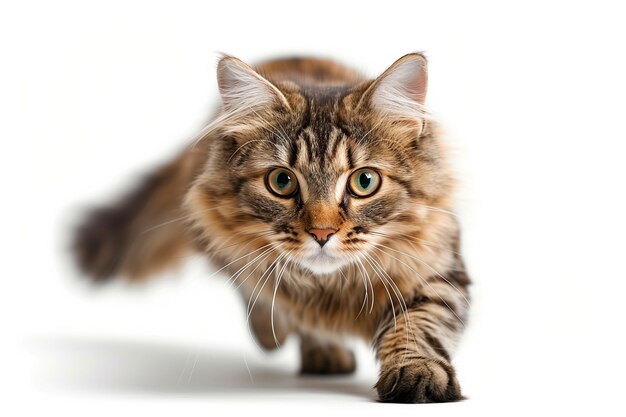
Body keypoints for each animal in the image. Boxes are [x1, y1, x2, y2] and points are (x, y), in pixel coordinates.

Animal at [73, 52, 470, 400]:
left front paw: (417, 373)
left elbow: (418, 324)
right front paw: (278, 331)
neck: (331, 287)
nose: (322, 233)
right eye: (281, 181)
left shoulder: (439, 268)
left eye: (365, 181)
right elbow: (271, 297)